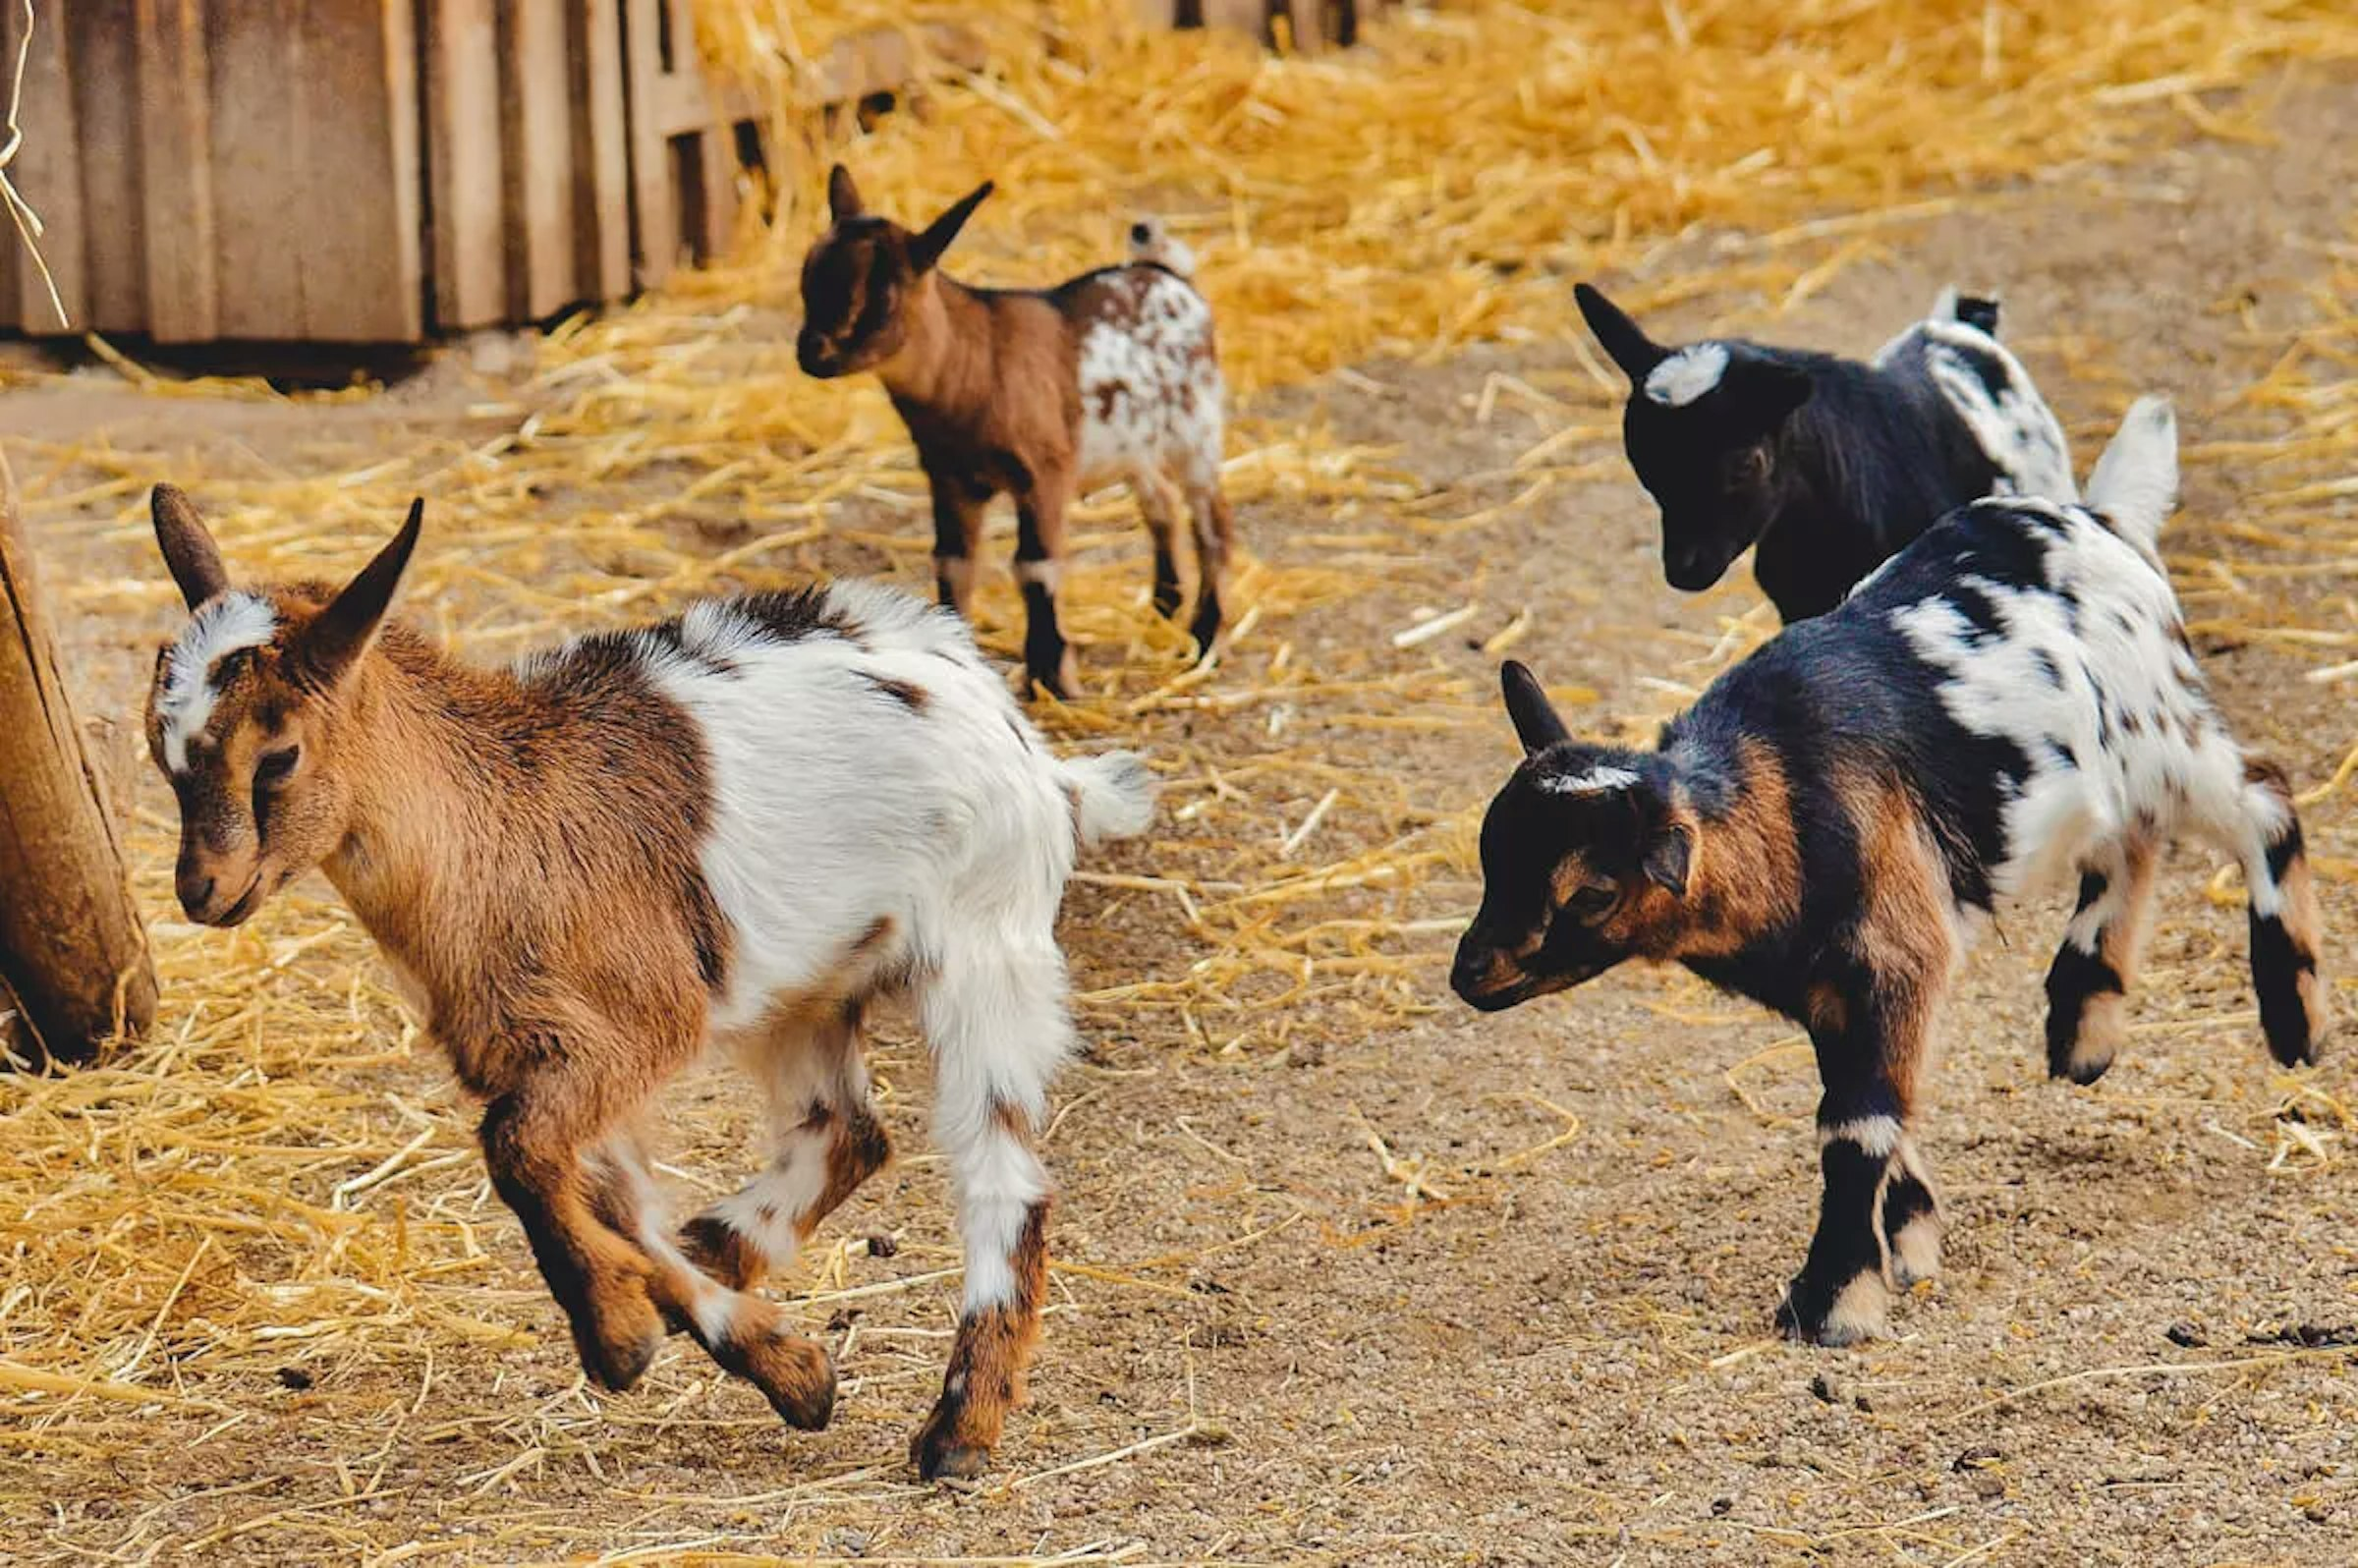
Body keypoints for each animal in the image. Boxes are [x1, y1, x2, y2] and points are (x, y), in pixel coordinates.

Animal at [142, 486, 1156, 1479]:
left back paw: (958, 1431)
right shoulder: (544, 1054)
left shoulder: (633, 1028)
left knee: (1002, 1176)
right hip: (803, 987)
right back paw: (724, 1249)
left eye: (277, 757)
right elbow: (606, 1202)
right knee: (845, 1132)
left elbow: (518, 1154)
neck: (496, 822)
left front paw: (621, 1339)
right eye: (163, 754)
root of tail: (1033, 750)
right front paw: (780, 1366)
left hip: (986, 949)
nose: (203, 891)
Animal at [797, 167, 1233, 699]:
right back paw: (1163, 608)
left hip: (1197, 431)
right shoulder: (949, 478)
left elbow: (1035, 567)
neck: (978, 364)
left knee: (1212, 524)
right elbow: (953, 563)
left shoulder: (1043, 474)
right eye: (807, 277)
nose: (812, 353)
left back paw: (1204, 638)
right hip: (1135, 445)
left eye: (883, 298)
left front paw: (1053, 678)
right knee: (1161, 504)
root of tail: (1169, 275)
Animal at [1451, 398, 2328, 1345]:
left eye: (1591, 891)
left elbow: (1856, 1126)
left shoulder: (1896, 954)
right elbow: (1879, 1110)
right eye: (1490, 852)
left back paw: (2294, 1021)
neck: (1783, 793)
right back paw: (2083, 1028)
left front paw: (1833, 1301)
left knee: (2262, 798)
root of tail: (2101, 518)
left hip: (2165, 735)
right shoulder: (1832, 992)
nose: (1471, 974)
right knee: (2131, 842)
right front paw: (1907, 1244)